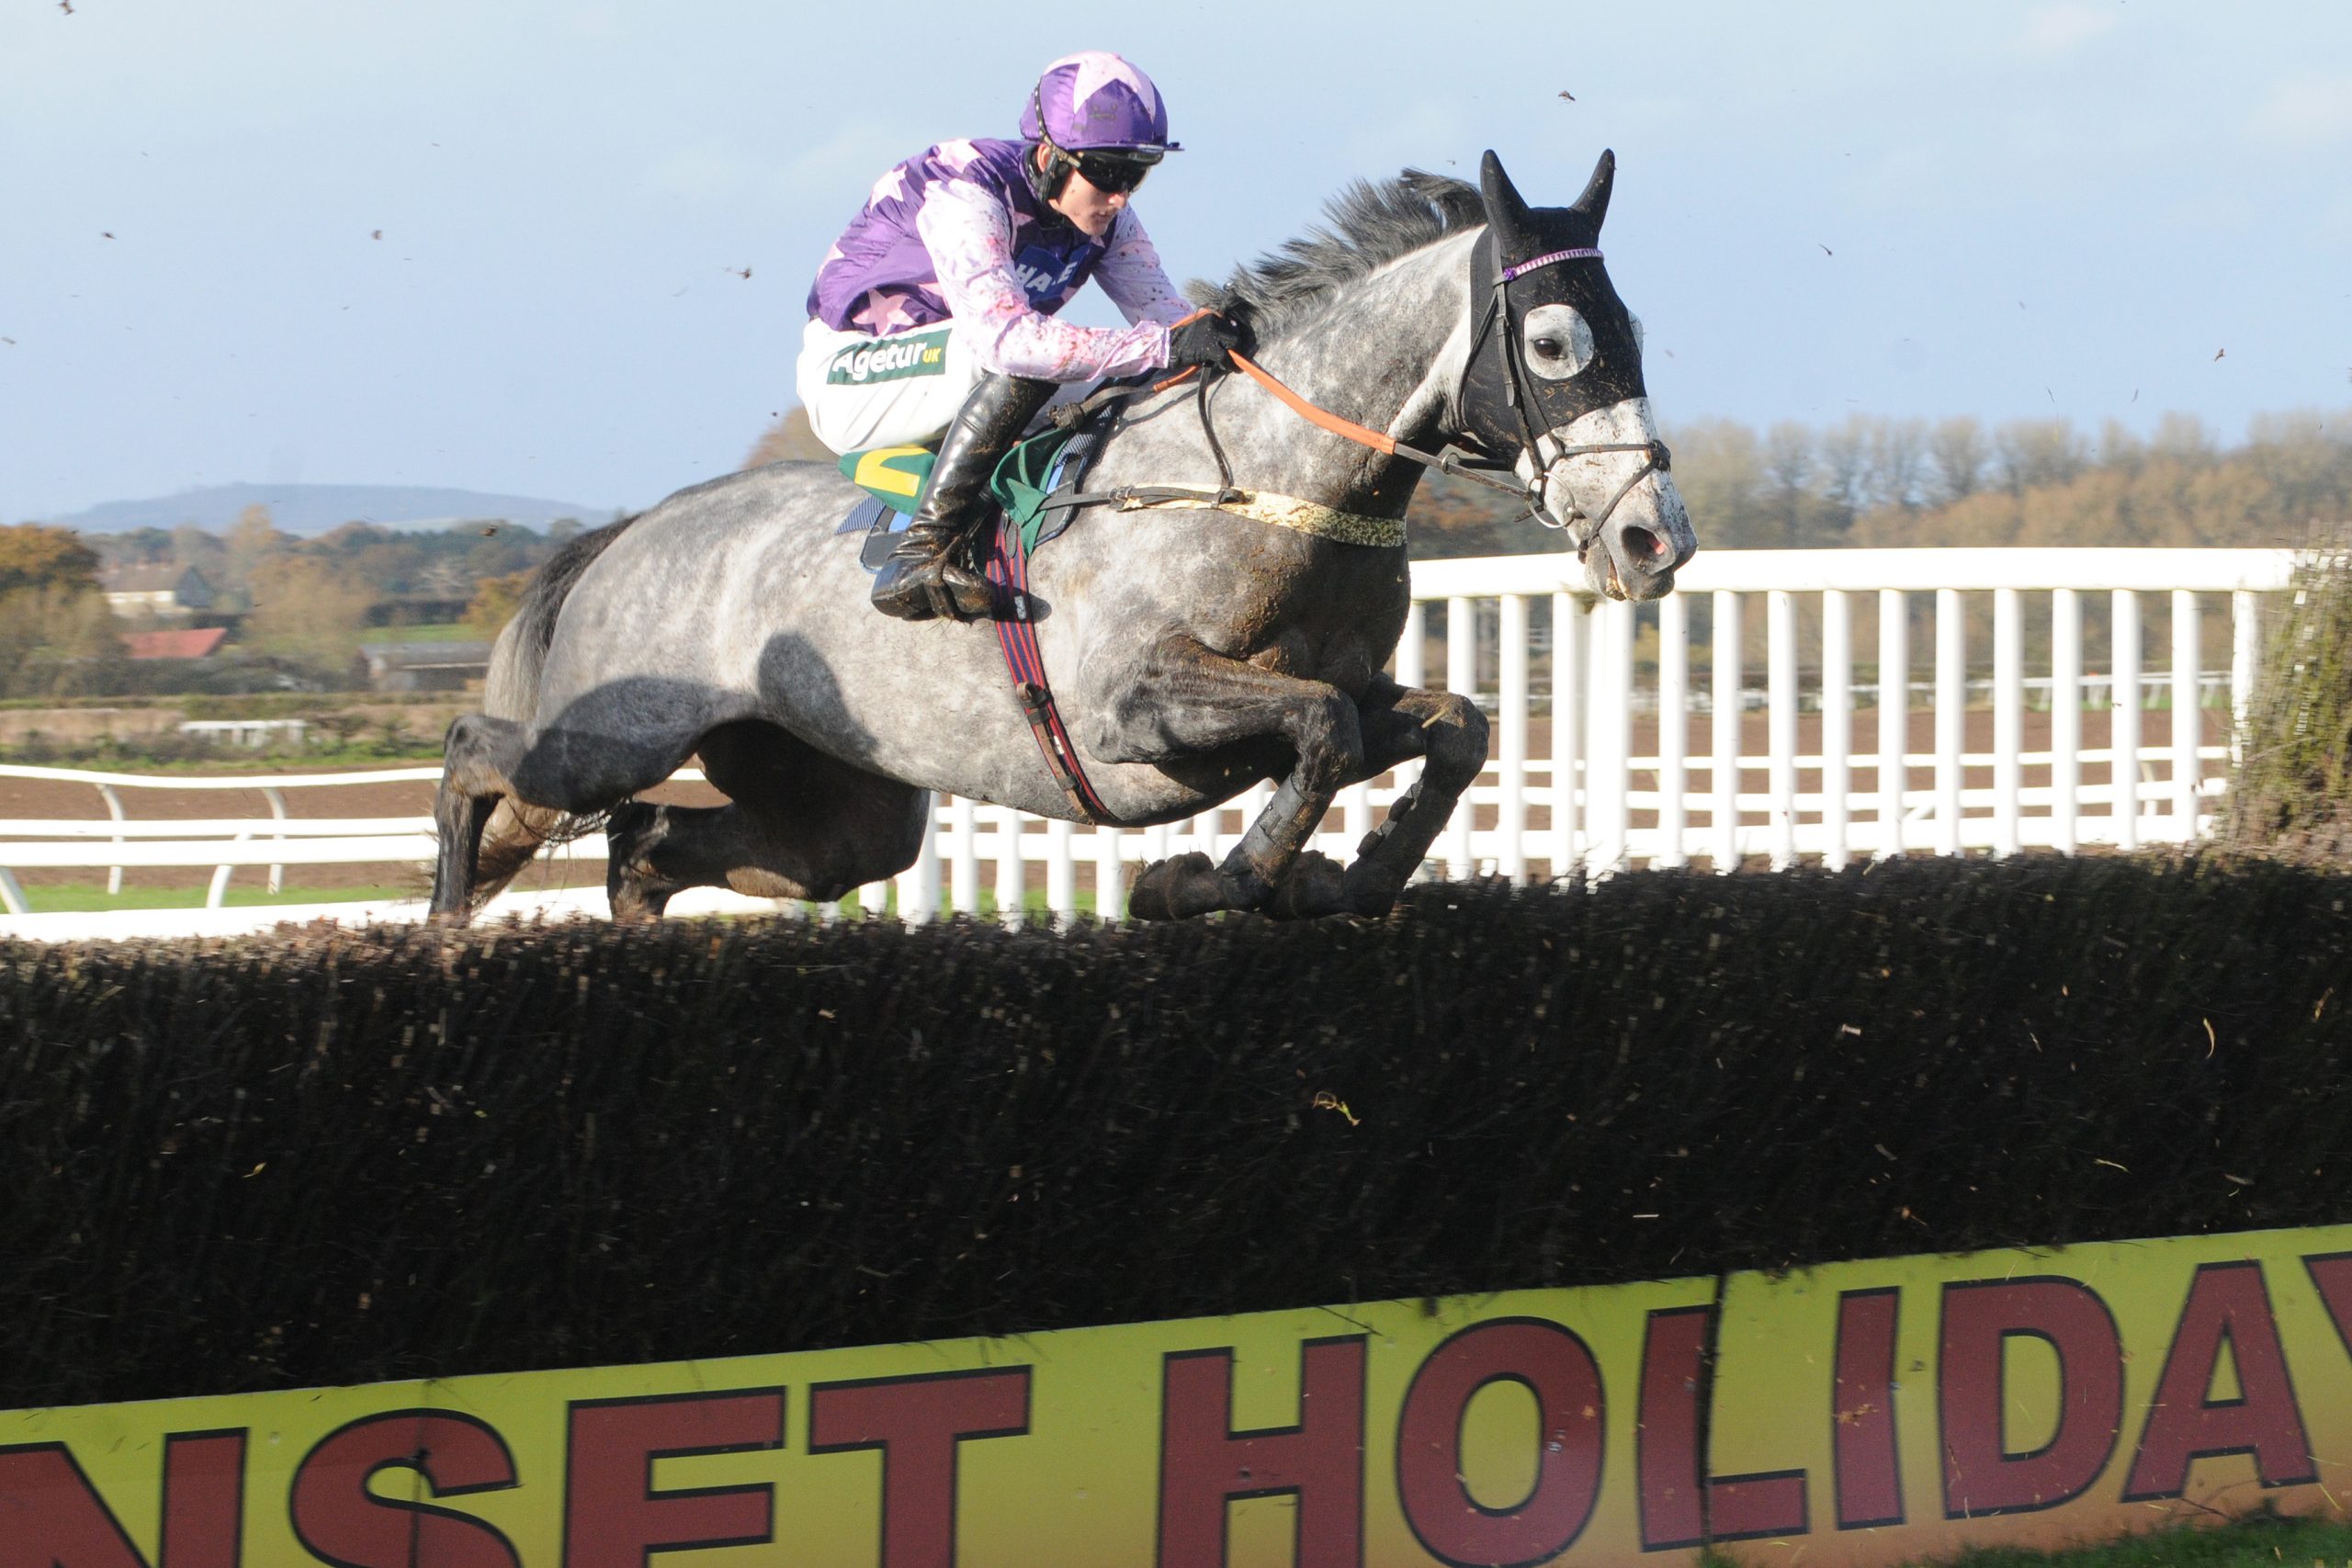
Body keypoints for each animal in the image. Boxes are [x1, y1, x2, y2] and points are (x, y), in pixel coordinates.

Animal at [428, 150, 1696, 925]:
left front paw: (1354, 876)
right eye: (1553, 343)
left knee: (652, 843)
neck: (1269, 486)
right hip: (612, 728)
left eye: (1637, 328)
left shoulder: (1350, 685)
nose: (1653, 539)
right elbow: (1323, 733)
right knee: (479, 757)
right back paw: (441, 927)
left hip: (838, 799)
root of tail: (630, 530)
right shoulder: (1135, 706)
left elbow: (1453, 727)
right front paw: (1212, 879)